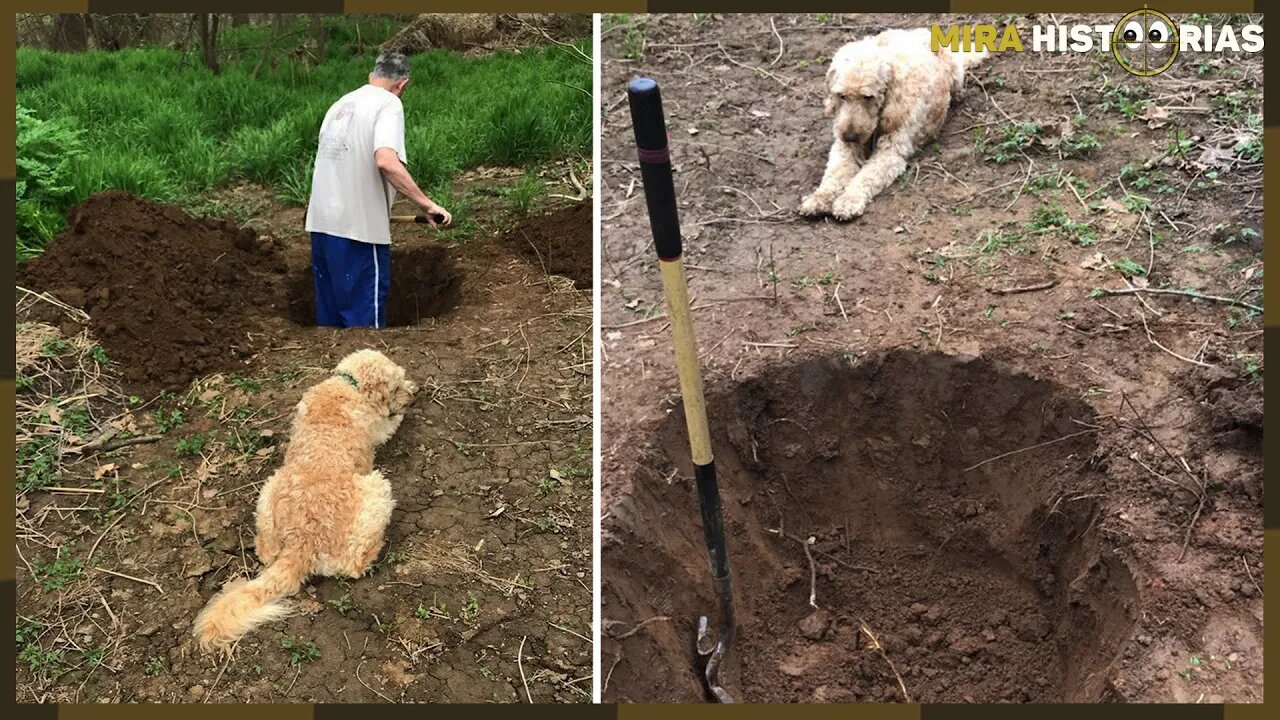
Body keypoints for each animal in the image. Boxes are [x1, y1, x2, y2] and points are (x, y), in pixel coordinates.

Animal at [192, 348, 417, 650]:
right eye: (395, 386)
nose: (414, 394)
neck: (348, 384)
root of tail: (303, 540)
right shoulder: (380, 430)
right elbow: (391, 422)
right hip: (377, 490)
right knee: (354, 565)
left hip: (268, 494)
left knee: (265, 551)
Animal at [798, 27, 988, 219]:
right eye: (842, 96)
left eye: (868, 97)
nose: (850, 137)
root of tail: (917, 32)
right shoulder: (845, 148)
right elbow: (835, 173)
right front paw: (819, 197)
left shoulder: (889, 153)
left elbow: (867, 176)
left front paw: (849, 200)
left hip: (954, 72)